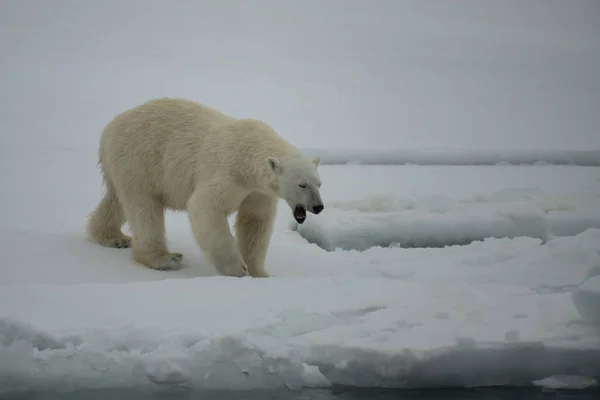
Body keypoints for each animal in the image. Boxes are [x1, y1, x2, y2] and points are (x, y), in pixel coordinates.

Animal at [85, 97, 324, 278]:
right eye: (302, 184)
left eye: (319, 183)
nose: (318, 207)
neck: (247, 153)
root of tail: (107, 130)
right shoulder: (227, 173)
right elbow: (206, 207)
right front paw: (236, 269)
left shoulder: (257, 191)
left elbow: (255, 222)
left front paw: (260, 273)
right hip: (139, 159)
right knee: (144, 207)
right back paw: (166, 258)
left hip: (123, 165)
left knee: (116, 199)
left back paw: (113, 237)